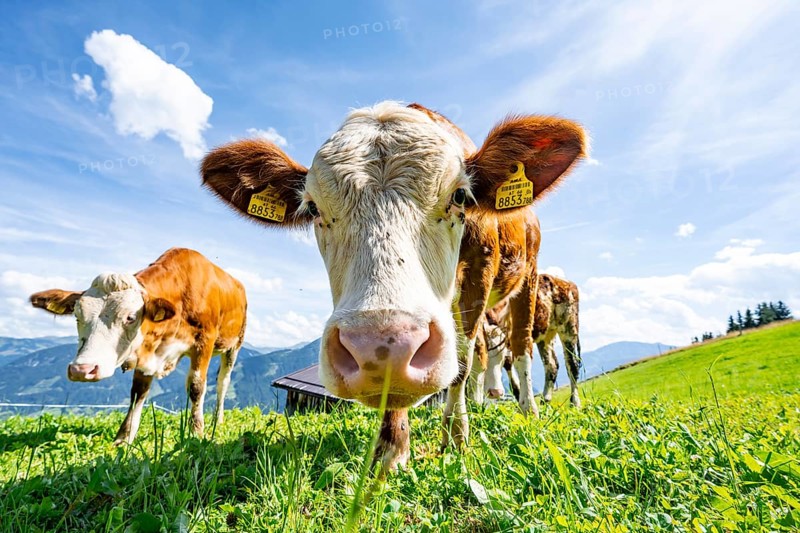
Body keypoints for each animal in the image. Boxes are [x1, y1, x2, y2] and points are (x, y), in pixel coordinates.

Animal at [29, 248, 247, 444]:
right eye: (77, 316)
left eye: (130, 317)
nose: (82, 369)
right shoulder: (148, 349)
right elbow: (137, 392)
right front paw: (123, 439)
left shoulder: (204, 342)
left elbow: (196, 387)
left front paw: (196, 433)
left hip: (234, 345)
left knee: (222, 382)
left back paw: (218, 420)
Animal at [483, 273, 582, 408]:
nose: (494, 392)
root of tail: (564, 282)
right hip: (546, 335)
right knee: (552, 365)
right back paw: (545, 400)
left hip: (569, 326)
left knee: (572, 364)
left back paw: (575, 403)